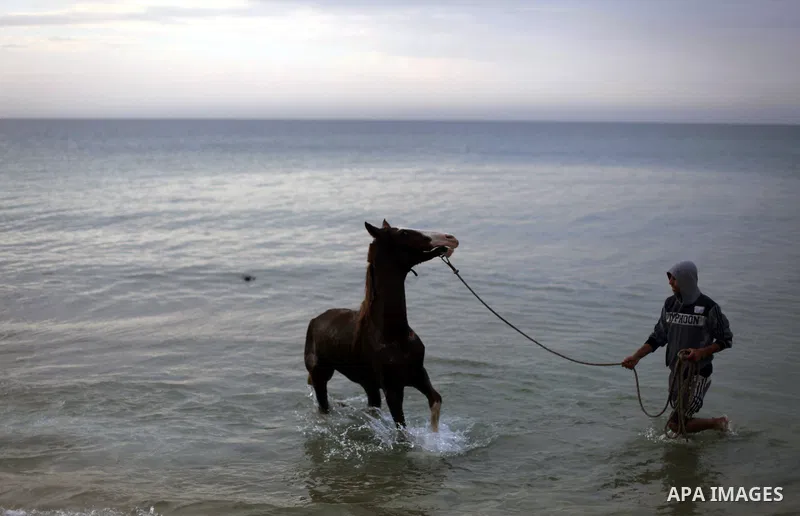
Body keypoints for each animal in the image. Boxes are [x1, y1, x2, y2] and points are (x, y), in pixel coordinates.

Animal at [304, 219, 459, 432]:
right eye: (403, 234)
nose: (450, 239)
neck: (393, 334)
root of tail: (315, 320)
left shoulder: (418, 374)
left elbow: (436, 400)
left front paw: (435, 436)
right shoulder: (393, 389)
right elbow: (402, 431)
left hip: (368, 384)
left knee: (371, 405)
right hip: (321, 376)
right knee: (323, 405)